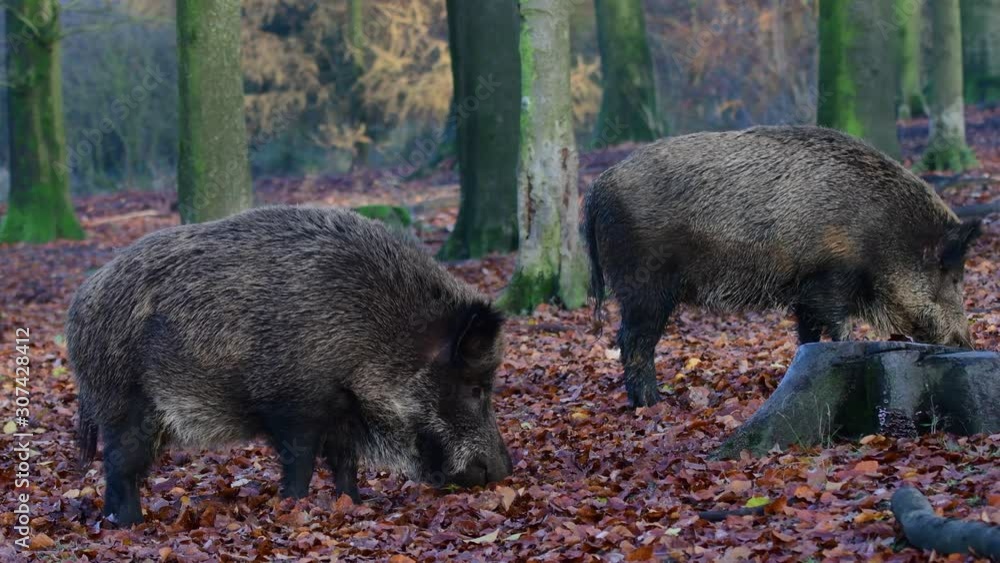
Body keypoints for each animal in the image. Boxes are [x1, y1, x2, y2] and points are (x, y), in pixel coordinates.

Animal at [68, 206, 513, 526]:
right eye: (476, 388)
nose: (503, 470)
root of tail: (81, 302)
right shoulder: (294, 406)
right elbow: (300, 464)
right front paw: (294, 508)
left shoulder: (342, 409)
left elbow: (345, 462)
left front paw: (352, 504)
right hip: (125, 403)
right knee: (120, 465)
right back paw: (129, 525)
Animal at [583, 126, 982, 407]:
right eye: (953, 276)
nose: (966, 341)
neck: (882, 232)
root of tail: (596, 188)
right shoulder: (832, 276)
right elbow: (839, 327)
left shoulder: (805, 291)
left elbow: (808, 335)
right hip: (643, 285)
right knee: (632, 340)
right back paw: (652, 403)